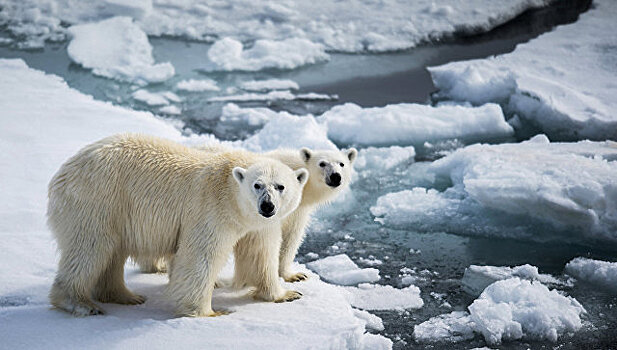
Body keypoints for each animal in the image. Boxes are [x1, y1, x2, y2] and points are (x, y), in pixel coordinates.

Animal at [47, 134, 308, 318]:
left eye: (281, 186)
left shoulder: (257, 225)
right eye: (257, 185)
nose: (267, 206)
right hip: (97, 200)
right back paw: (80, 303)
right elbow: (200, 257)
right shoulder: (211, 210)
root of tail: (62, 173)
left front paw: (286, 294)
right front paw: (209, 312)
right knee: (90, 248)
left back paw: (125, 296)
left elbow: (260, 255)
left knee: (111, 254)